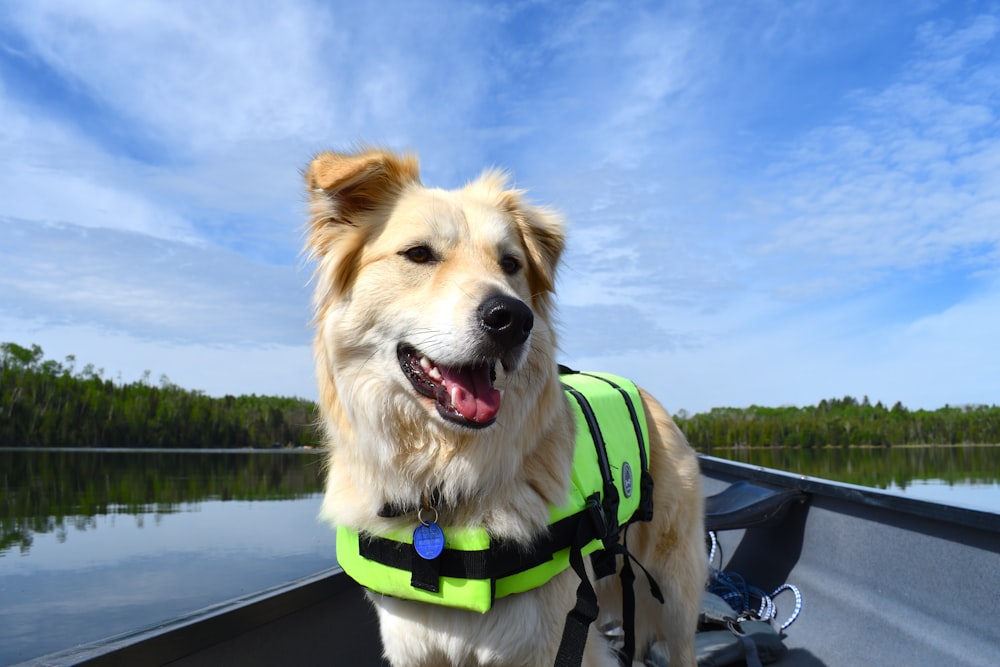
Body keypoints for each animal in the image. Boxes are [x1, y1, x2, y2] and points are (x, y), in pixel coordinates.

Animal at [304, 147, 704, 667]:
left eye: (510, 263)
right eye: (419, 254)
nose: (512, 318)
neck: (442, 490)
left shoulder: (550, 641)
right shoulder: (414, 644)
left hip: (675, 591)